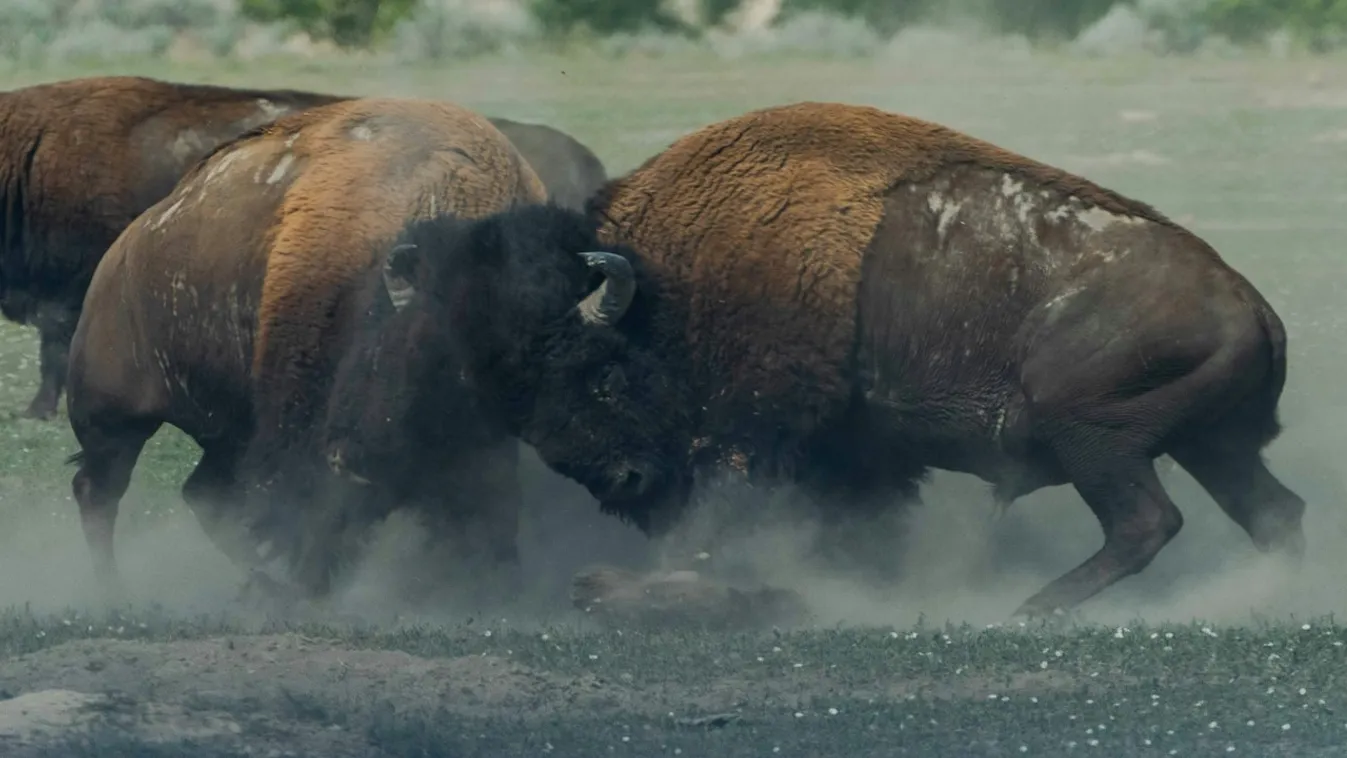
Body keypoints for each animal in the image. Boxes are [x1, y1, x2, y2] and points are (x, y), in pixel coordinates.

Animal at [60, 96, 557, 605]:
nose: (357, 460)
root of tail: (122, 251)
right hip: (112, 419)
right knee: (98, 490)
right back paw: (116, 591)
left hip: (227, 431)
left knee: (202, 494)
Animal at [347, 103, 1303, 619]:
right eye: (509, 401)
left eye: (597, 373)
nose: (620, 481)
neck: (667, 281)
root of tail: (1250, 305)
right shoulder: (857, 455)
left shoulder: (751, 439)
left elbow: (740, 512)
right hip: (1208, 445)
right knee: (1270, 512)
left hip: (1097, 440)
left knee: (1146, 522)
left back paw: (1027, 609)